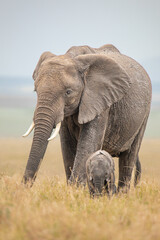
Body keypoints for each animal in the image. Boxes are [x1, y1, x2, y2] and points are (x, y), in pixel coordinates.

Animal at [22, 44, 151, 191]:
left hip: (144, 113)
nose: (24, 186)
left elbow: (87, 144)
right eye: (35, 91)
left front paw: (76, 190)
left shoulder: (100, 101)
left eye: (68, 92)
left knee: (129, 156)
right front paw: (74, 190)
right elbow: (67, 146)